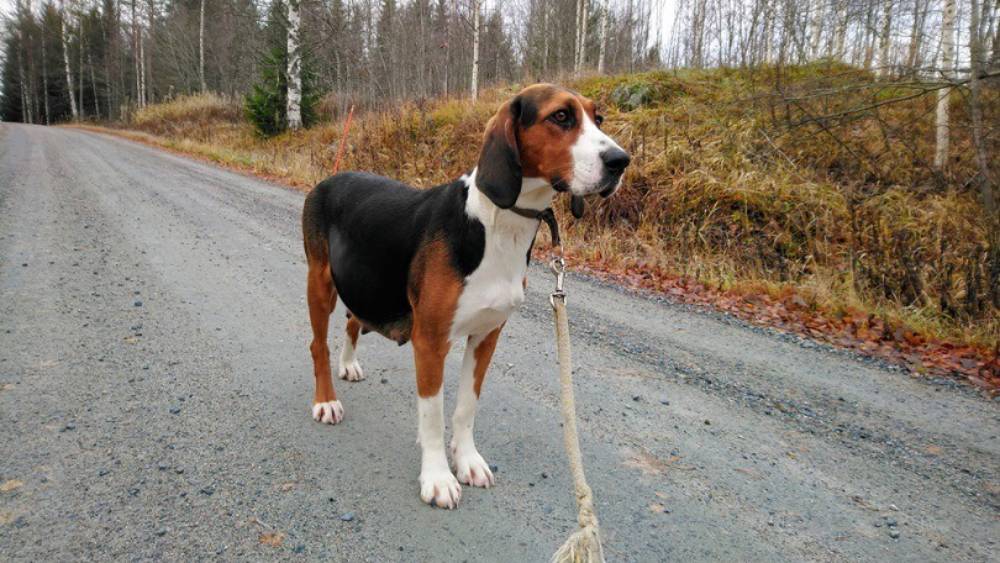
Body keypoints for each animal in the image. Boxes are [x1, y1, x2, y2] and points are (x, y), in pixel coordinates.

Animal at [300, 83, 636, 512]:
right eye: (561, 116)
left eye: (599, 118)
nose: (620, 161)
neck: (499, 225)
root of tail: (330, 177)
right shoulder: (431, 341)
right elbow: (433, 414)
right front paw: (438, 477)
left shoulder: (486, 337)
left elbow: (465, 408)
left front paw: (467, 460)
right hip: (321, 283)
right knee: (318, 344)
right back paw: (326, 400)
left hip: (367, 282)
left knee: (353, 320)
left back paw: (348, 364)